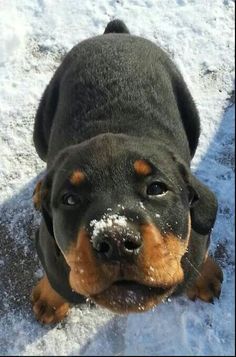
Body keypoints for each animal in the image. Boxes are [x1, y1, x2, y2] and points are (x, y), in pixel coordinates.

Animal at [31, 20, 223, 324]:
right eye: (70, 199)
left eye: (156, 188)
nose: (116, 241)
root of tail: (115, 34)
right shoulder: (49, 250)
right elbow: (57, 279)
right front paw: (50, 298)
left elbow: (199, 256)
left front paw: (204, 276)